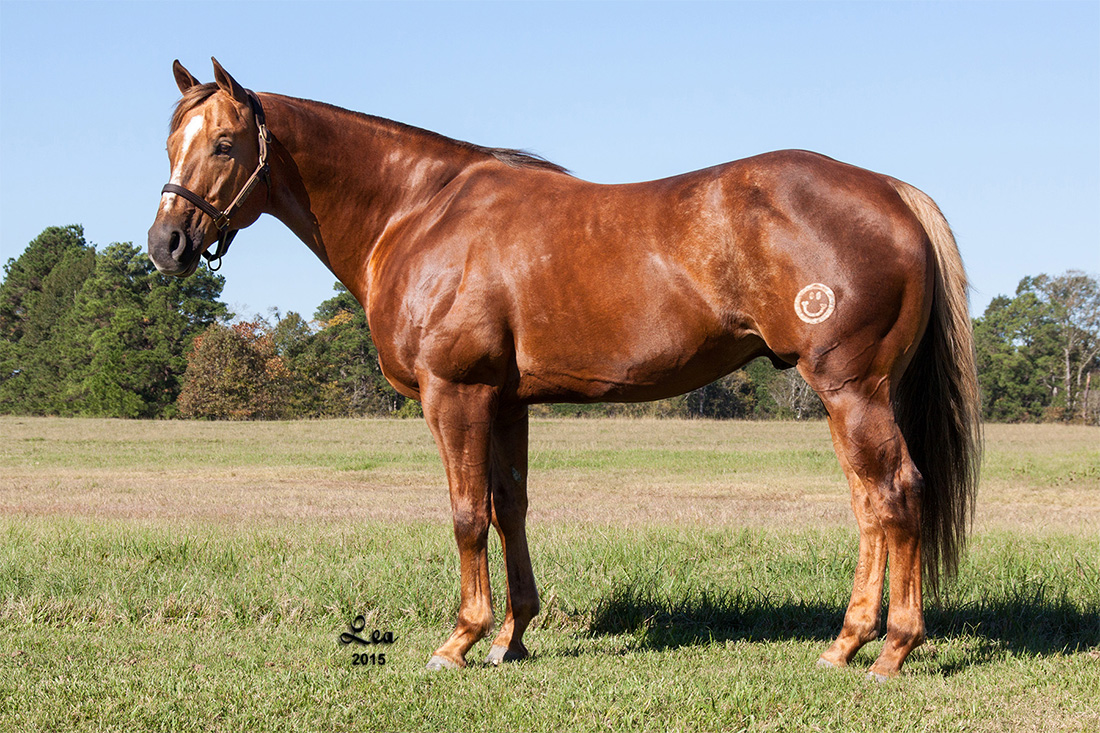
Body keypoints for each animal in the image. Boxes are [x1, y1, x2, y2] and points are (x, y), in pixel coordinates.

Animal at [148, 59, 980, 680]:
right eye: (170, 143)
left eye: (225, 144)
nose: (166, 245)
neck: (418, 211)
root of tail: (891, 192)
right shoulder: (506, 400)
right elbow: (508, 506)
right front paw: (511, 637)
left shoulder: (456, 395)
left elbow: (465, 513)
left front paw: (458, 640)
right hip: (849, 396)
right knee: (869, 503)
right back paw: (846, 643)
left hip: (851, 389)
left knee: (895, 493)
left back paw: (892, 650)